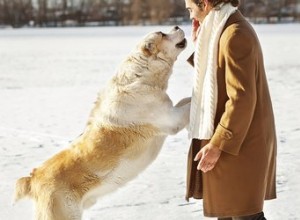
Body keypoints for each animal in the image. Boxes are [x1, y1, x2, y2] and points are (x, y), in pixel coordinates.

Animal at [13, 26, 190, 220]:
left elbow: (185, 100)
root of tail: (33, 178)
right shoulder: (172, 119)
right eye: (162, 34)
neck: (141, 77)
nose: (176, 26)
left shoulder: (172, 111)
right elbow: (189, 102)